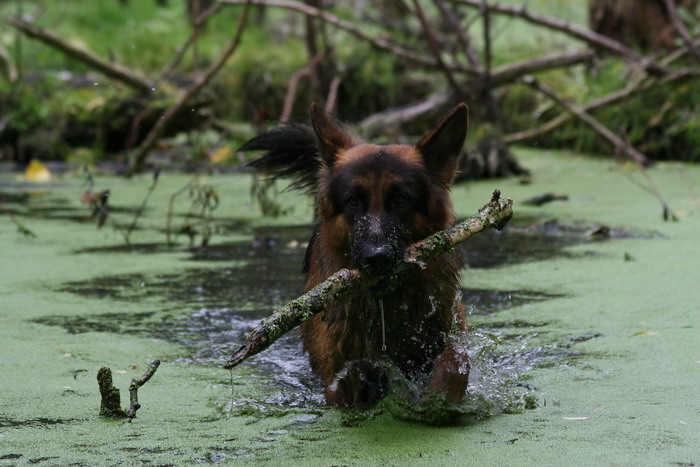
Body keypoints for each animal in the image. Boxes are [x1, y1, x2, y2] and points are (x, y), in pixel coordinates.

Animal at [242, 104, 470, 412]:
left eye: (400, 199)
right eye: (353, 201)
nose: (377, 258)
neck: (386, 307)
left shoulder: (446, 332)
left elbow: (456, 358)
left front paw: (438, 399)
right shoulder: (340, 372)